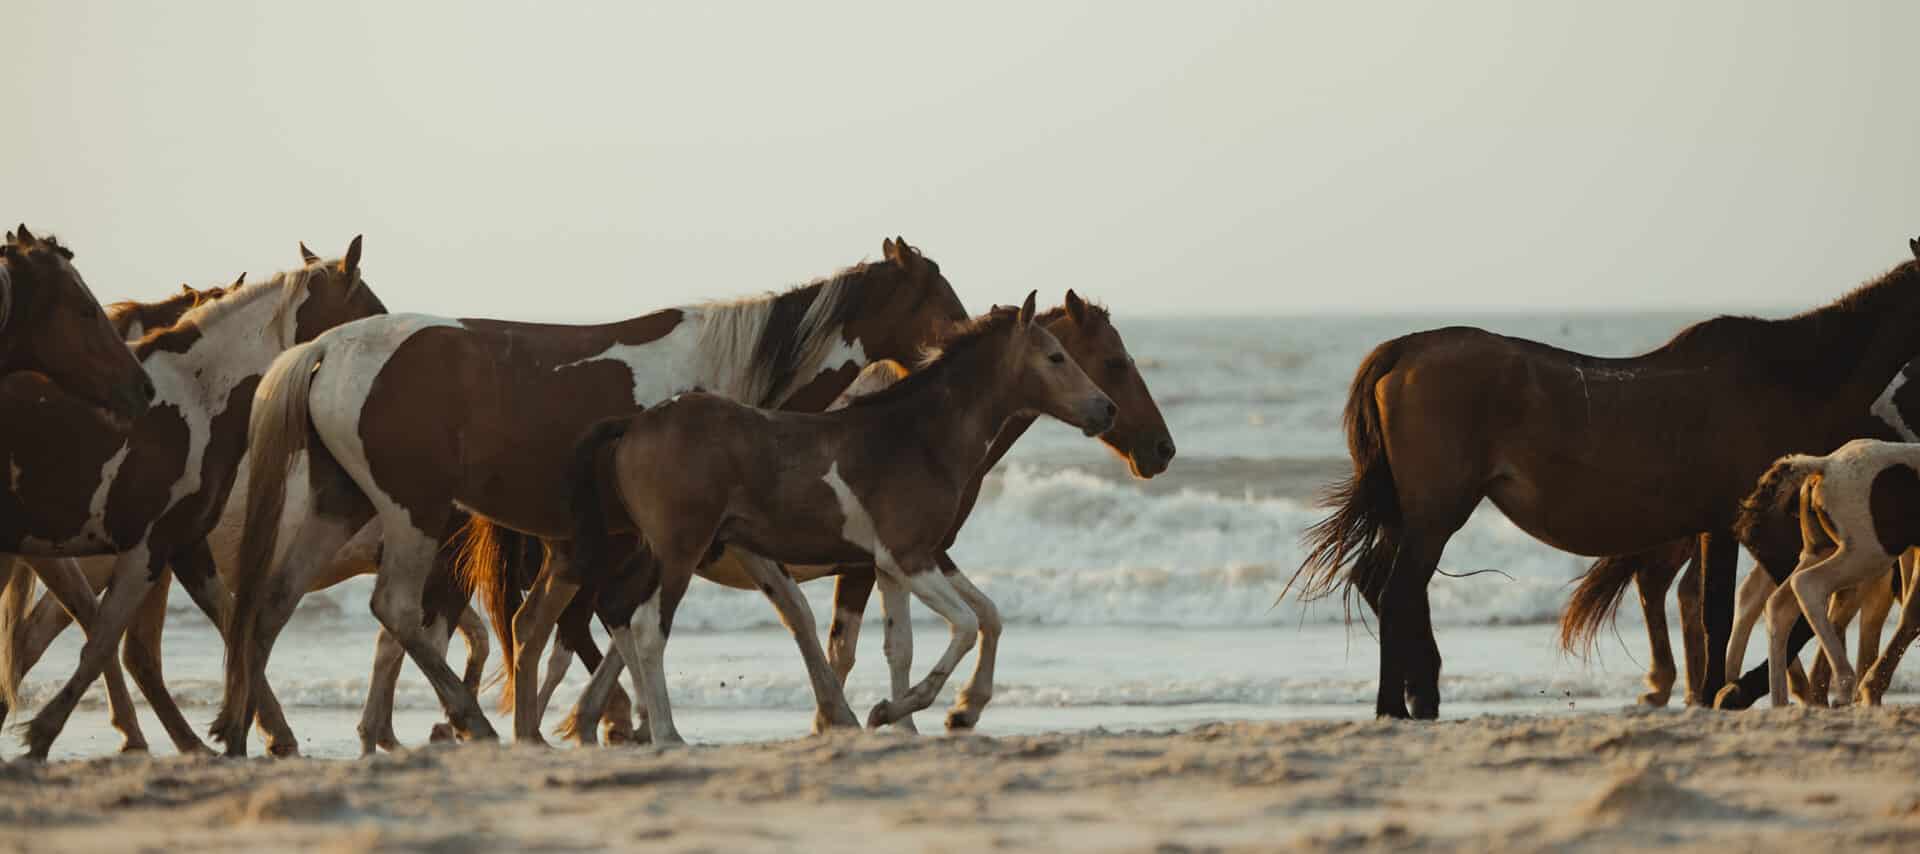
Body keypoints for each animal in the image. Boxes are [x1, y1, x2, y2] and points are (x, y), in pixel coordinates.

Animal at [213, 237, 970, 755]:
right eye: (941, 296)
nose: (968, 336)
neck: (726, 375)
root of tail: (326, 351)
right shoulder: (687, 538)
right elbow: (638, 624)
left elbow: (784, 615)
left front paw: (840, 714)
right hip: (413, 512)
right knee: (395, 611)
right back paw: (470, 721)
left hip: (341, 504)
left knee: (274, 601)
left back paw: (251, 728)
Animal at [535, 292, 1175, 742]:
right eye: (1063, 357)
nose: (1106, 411)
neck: (914, 435)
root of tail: (633, 424)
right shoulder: (908, 558)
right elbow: (966, 625)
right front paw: (893, 710)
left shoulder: (892, 566)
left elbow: (911, 640)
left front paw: (904, 718)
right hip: (678, 551)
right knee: (644, 627)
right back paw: (665, 732)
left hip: (649, 552)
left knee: (613, 616)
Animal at [1293, 237, 1920, 719]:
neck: (1788, 379)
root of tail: (1403, 351)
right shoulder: (1748, 525)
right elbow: (1763, 609)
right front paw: (1731, 692)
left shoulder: (1716, 526)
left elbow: (1724, 612)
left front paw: (1719, 692)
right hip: (1434, 514)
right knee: (1396, 591)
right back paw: (1396, 707)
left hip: (1413, 515)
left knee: (1380, 584)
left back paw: (1418, 697)